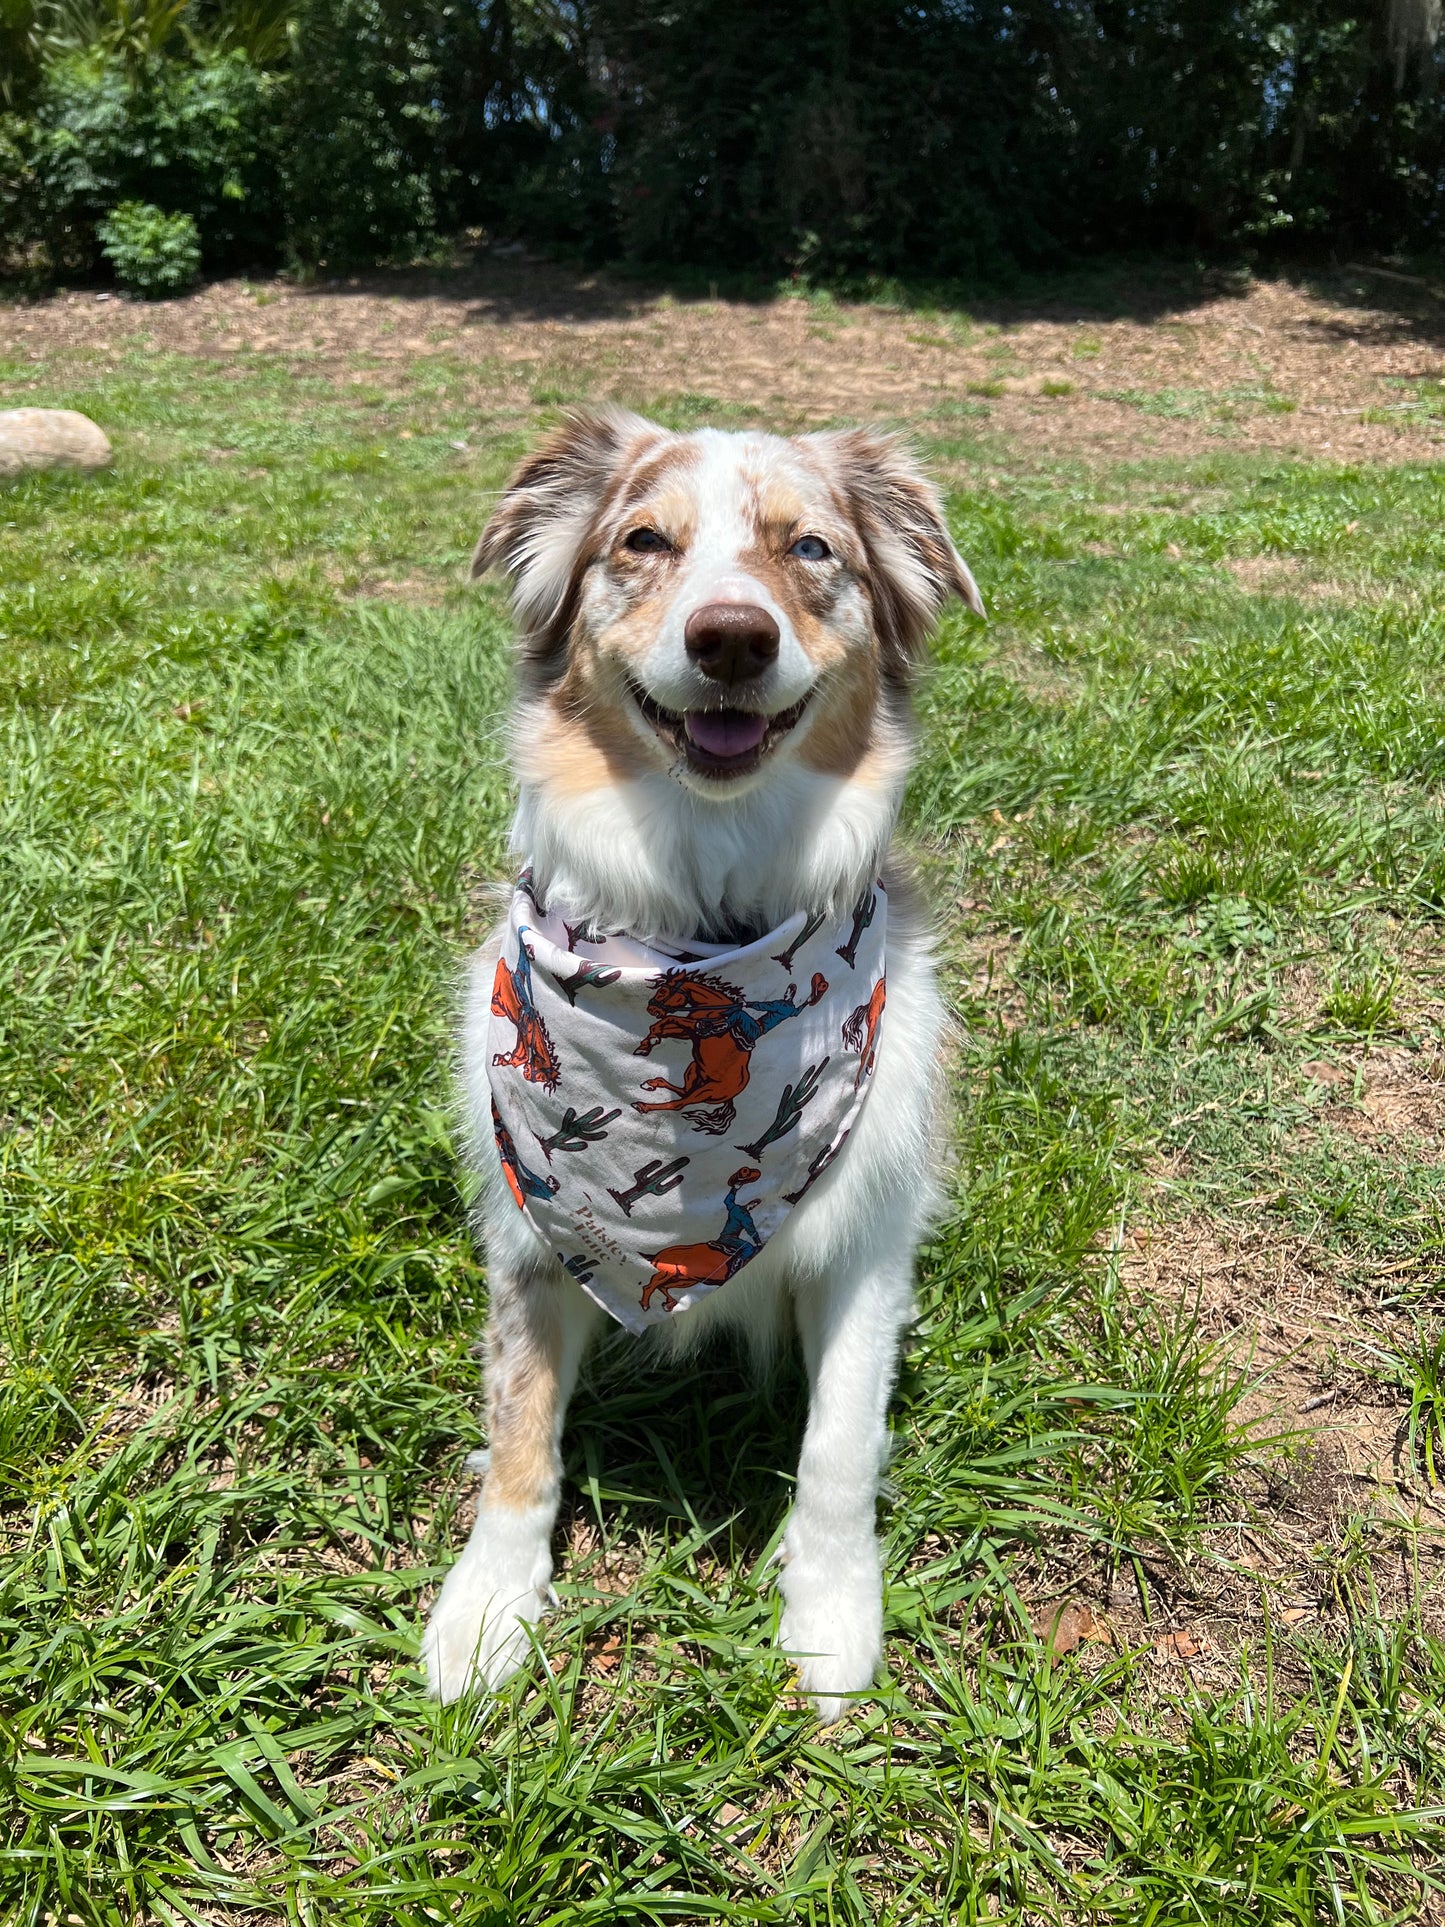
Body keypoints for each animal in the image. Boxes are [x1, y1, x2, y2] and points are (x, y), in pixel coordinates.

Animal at [418, 410, 986, 1718]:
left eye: (811, 548)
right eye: (642, 541)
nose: (730, 635)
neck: (701, 910)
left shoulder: (866, 1239)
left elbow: (838, 1441)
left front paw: (829, 1616)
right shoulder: (531, 1230)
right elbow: (517, 1423)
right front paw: (486, 1606)